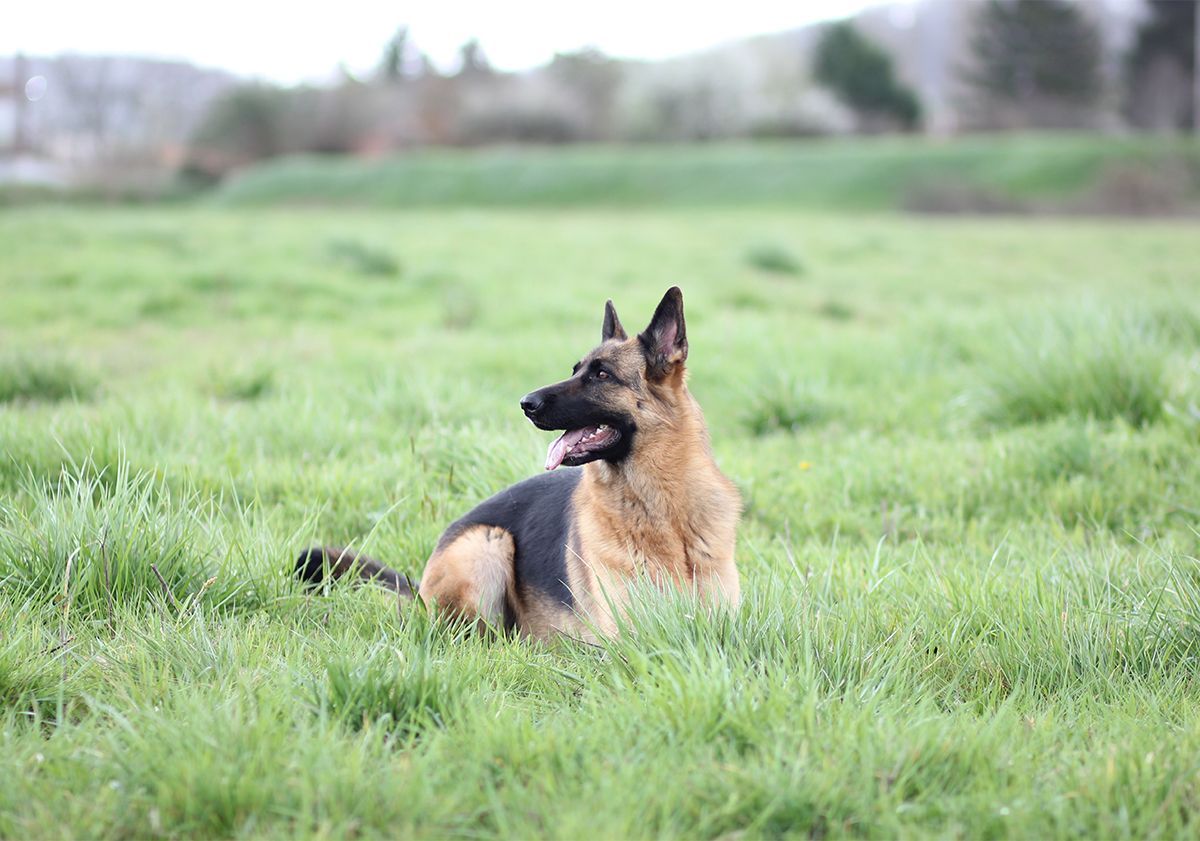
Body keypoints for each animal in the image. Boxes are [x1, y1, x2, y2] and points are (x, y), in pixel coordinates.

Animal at [297, 285, 739, 638]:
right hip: (488, 543)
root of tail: (420, 587)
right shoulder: (628, 639)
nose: (526, 403)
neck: (663, 510)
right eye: (576, 369)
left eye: (601, 375)